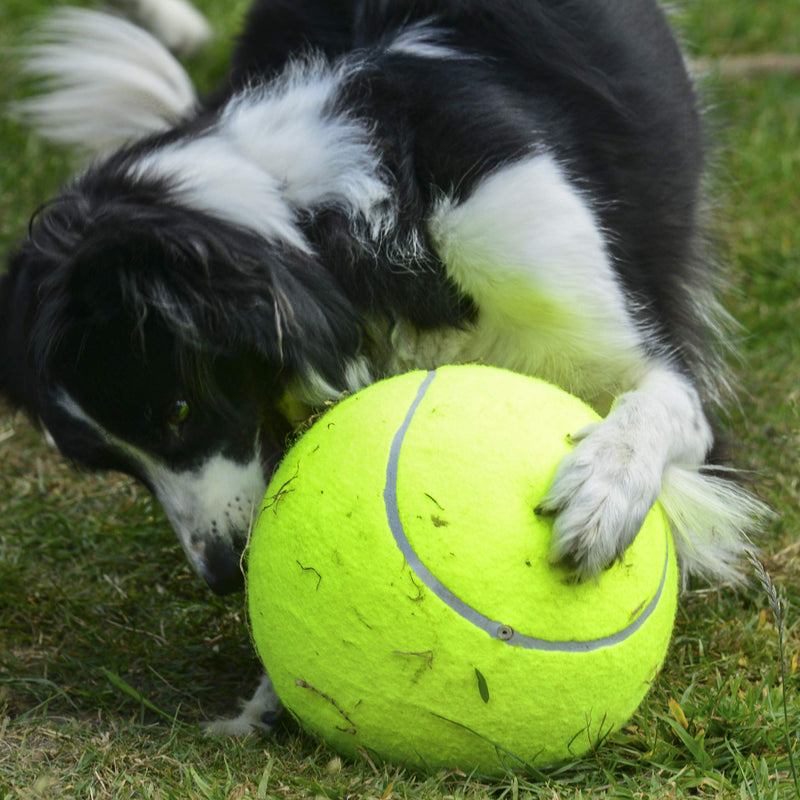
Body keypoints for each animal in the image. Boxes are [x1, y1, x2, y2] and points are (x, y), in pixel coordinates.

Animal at [0, 0, 764, 732]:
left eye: (179, 411)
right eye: (119, 468)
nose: (219, 575)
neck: (333, 221)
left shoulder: (626, 339)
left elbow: (652, 405)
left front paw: (600, 496)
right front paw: (269, 698)